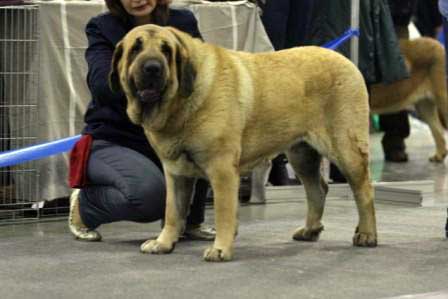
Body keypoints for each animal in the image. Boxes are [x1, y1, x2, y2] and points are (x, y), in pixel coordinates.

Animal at [109, 24, 378, 262]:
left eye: (166, 50)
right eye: (136, 48)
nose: (152, 68)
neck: (181, 103)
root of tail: (345, 60)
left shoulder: (222, 170)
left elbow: (223, 212)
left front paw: (220, 249)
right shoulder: (176, 173)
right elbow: (173, 211)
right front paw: (163, 243)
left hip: (346, 148)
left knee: (363, 190)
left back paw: (366, 234)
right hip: (302, 154)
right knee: (317, 189)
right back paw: (310, 231)